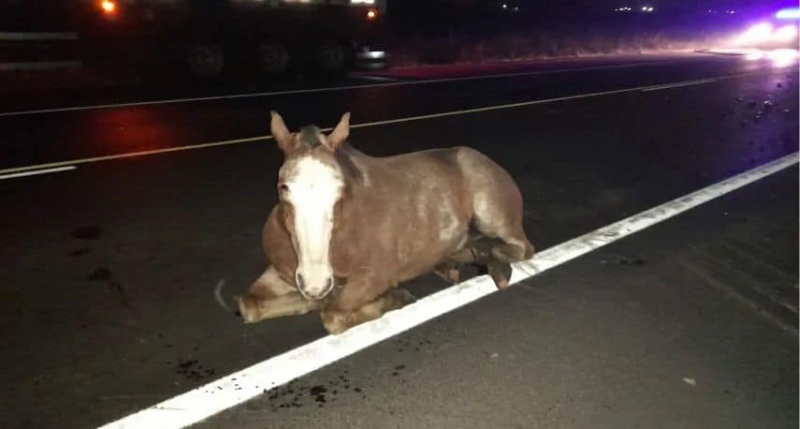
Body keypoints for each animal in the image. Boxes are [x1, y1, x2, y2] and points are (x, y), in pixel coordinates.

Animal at [238, 111, 536, 334]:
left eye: (340, 191)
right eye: (283, 187)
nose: (316, 282)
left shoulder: (376, 274)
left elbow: (333, 316)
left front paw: (394, 298)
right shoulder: (283, 273)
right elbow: (249, 304)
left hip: (492, 214)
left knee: (521, 247)